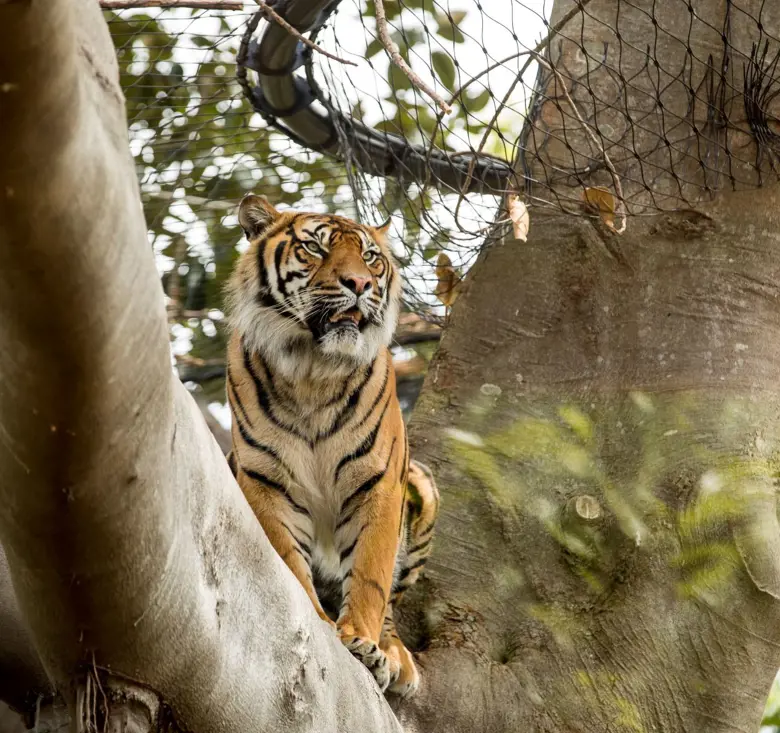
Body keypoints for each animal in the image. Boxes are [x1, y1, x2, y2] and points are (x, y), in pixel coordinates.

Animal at [223, 193, 439, 696]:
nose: (359, 283)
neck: (313, 370)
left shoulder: (378, 483)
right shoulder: (265, 481)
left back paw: (394, 654)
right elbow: (287, 560)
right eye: (314, 249)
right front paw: (323, 624)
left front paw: (362, 641)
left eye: (371, 257)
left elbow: (371, 576)